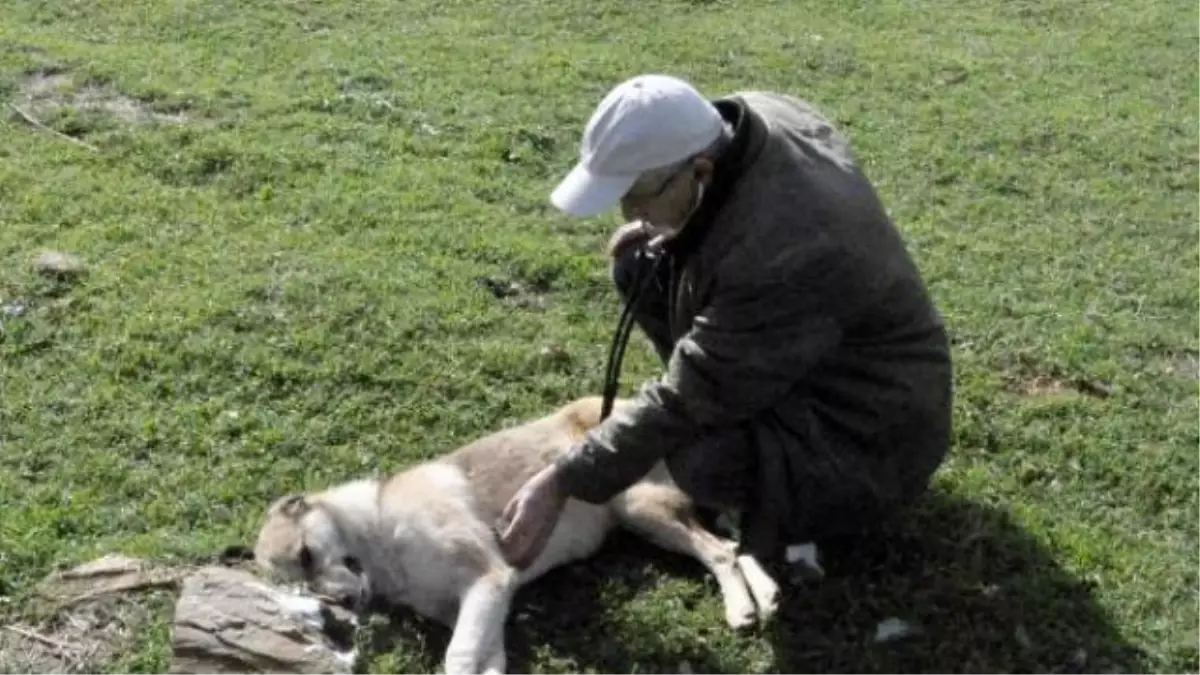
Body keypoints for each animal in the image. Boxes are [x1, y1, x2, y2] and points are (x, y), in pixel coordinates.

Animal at [253, 393, 782, 672]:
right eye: (301, 587)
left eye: (305, 554)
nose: (342, 604)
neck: (380, 529)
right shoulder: (481, 603)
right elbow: (485, 660)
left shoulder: (489, 579)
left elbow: (460, 657)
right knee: (735, 544)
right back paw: (766, 595)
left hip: (640, 506)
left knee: (720, 550)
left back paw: (741, 609)